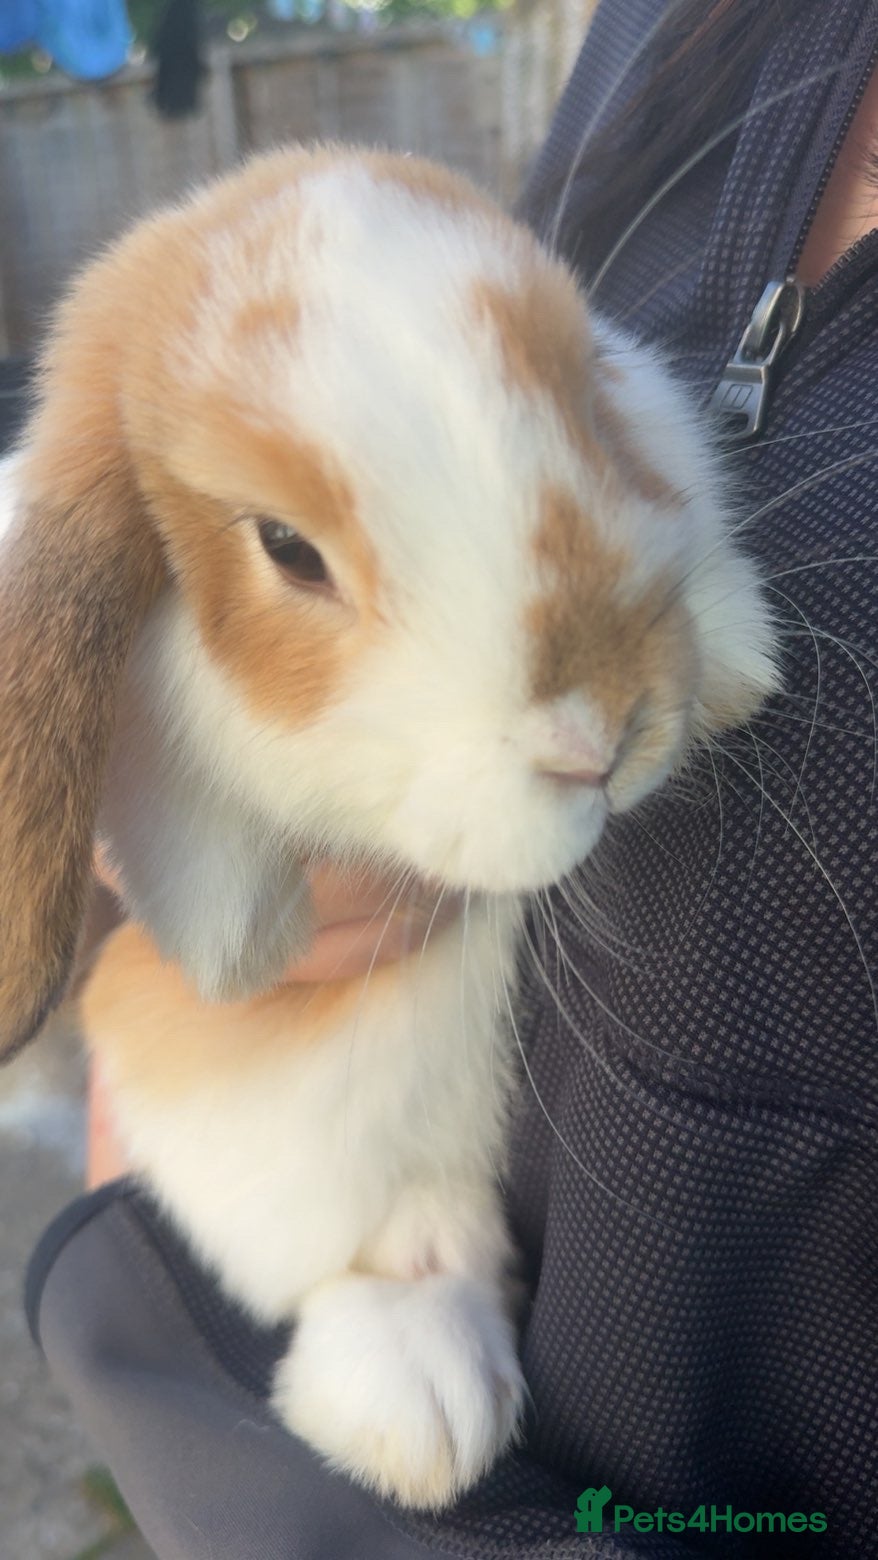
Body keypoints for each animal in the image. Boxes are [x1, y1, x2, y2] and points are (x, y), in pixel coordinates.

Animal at [0, 146, 778, 1509]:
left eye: (587, 392)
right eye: (286, 548)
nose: (607, 730)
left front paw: (740, 663)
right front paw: (233, 936)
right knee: (363, 1250)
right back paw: (413, 1420)